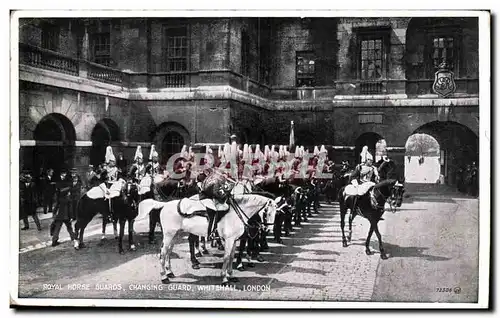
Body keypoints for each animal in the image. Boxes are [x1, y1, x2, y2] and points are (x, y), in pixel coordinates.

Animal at [137, 194, 278, 286]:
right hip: (168, 235)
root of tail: (165, 204)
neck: (235, 213)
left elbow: (232, 257)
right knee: (162, 254)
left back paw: (170, 272)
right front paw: (224, 279)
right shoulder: (228, 240)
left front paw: (231, 276)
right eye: (267, 212)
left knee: (168, 253)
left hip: (174, 235)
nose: (267, 230)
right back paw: (164, 277)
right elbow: (227, 257)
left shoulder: (233, 240)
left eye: (276, 212)